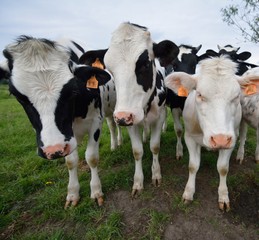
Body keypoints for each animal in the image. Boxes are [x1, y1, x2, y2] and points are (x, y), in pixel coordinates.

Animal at [1, 36, 114, 208]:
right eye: (17, 96)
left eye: (72, 90)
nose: (53, 150)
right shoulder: (68, 137)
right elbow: (71, 161)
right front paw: (73, 194)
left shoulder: (96, 121)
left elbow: (91, 157)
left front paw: (96, 191)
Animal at [102, 21, 180, 196]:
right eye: (110, 69)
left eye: (145, 64)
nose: (122, 116)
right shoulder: (130, 121)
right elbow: (137, 151)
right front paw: (138, 182)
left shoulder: (159, 116)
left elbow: (155, 146)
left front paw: (156, 174)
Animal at [166, 55, 259, 210]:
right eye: (199, 95)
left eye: (236, 96)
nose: (219, 139)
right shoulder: (190, 137)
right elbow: (193, 166)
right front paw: (188, 192)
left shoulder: (230, 139)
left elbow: (223, 168)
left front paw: (223, 196)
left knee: (244, 135)